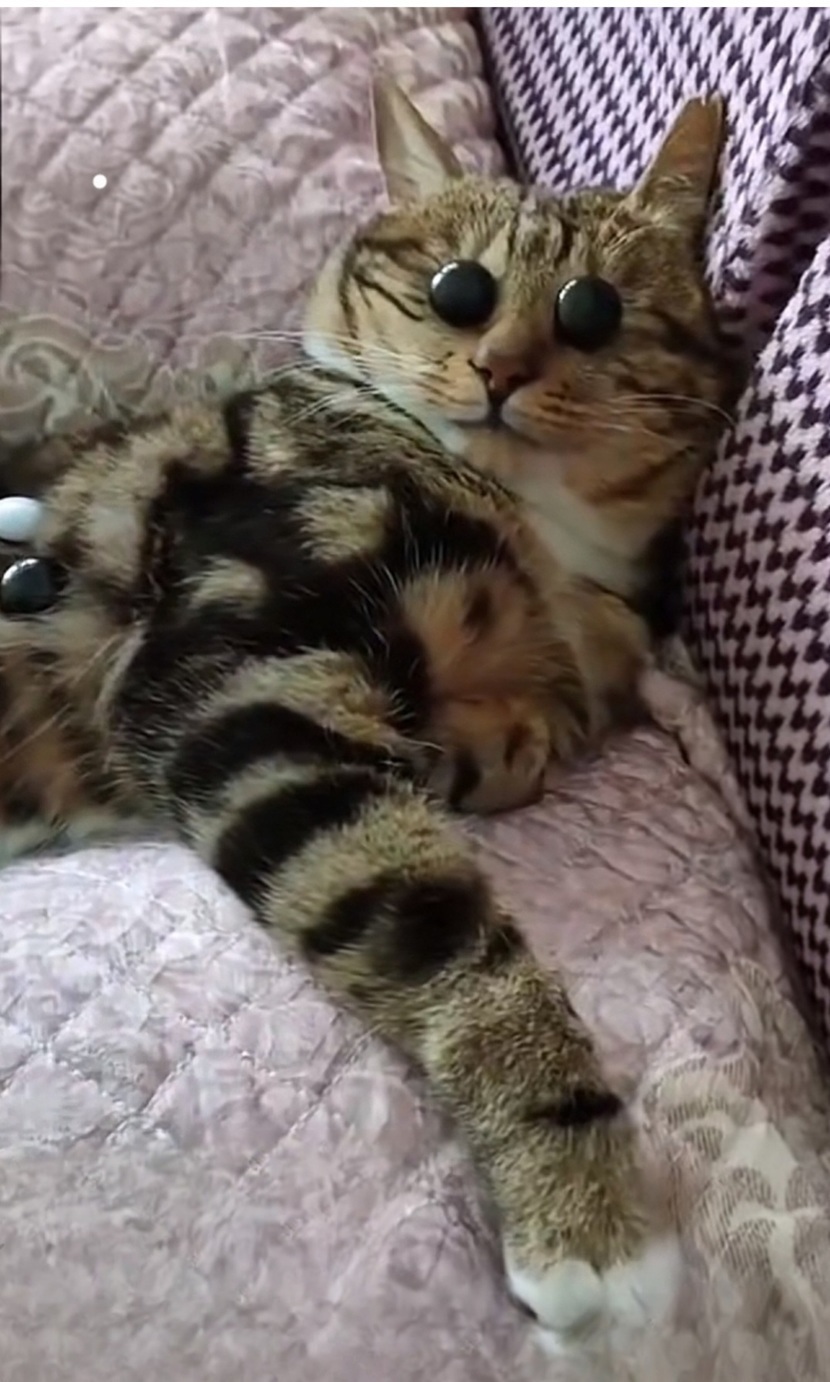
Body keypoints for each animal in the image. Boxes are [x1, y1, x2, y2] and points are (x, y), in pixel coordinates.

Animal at [0, 80, 732, 1349]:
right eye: (456, 289)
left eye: (591, 309)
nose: (497, 368)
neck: (542, 541)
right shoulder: (234, 675)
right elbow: (447, 938)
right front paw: (584, 1210)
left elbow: (523, 735)